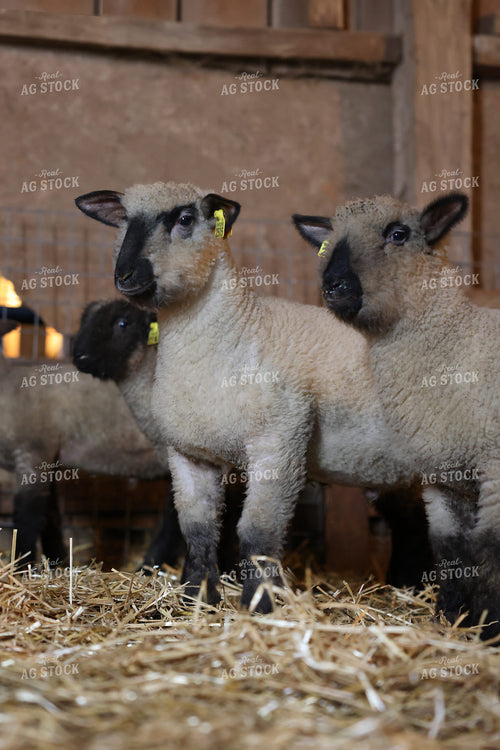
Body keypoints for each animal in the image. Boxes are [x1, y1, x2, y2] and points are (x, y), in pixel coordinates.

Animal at [0, 319, 165, 566]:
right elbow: (50, 515)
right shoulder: (49, 460)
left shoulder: (34, 451)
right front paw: (56, 563)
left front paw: (22, 565)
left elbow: (27, 516)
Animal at [75, 182, 432, 613]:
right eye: (124, 220)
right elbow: (197, 529)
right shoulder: (188, 452)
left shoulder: (279, 441)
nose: (125, 275)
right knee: (411, 524)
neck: (241, 331)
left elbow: (257, 531)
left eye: (184, 219)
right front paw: (197, 599)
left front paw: (260, 604)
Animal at [294, 193, 499, 639]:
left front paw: (488, 629)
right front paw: (450, 620)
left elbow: (491, 547)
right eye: (327, 243)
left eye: (398, 234)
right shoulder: (444, 477)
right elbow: (452, 551)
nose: (333, 285)